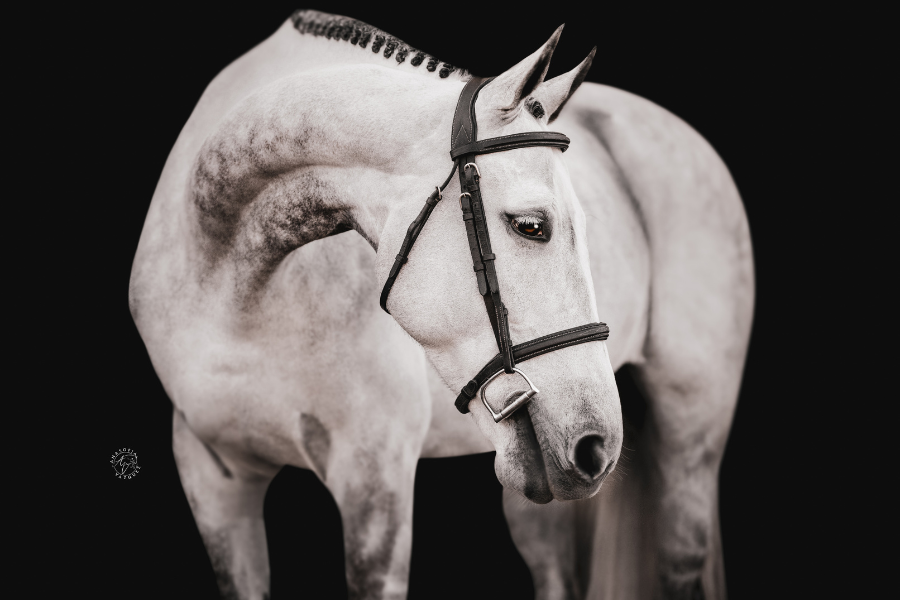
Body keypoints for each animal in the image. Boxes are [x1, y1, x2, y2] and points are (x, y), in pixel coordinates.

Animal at [129, 10, 753, 600]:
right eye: (532, 226)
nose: (597, 446)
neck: (235, 293)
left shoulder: (373, 481)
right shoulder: (214, 481)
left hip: (690, 438)